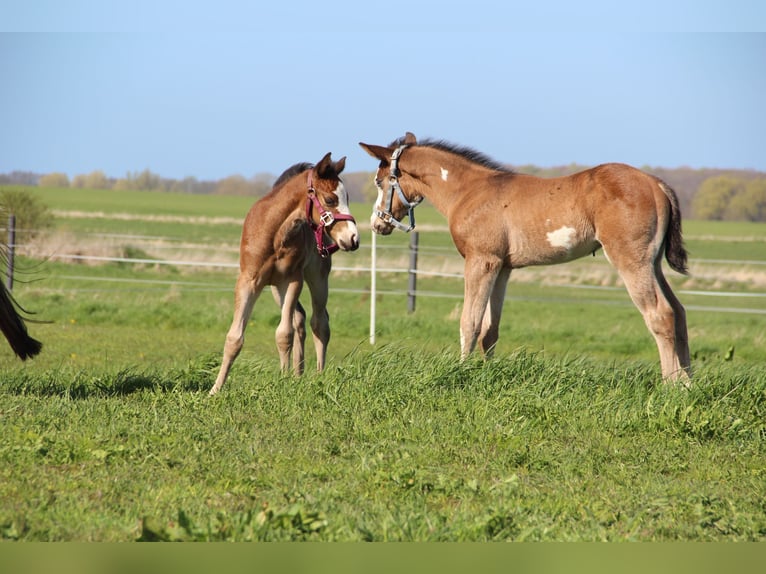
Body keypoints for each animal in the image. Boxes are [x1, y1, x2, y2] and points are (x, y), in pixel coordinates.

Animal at [209, 152, 359, 395]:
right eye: (330, 200)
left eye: (347, 197)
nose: (353, 238)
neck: (274, 234)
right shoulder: (249, 281)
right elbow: (234, 338)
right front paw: (215, 389)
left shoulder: (292, 280)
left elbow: (283, 334)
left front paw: (283, 380)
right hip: (275, 289)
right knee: (300, 319)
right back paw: (297, 374)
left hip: (318, 277)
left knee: (320, 323)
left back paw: (318, 375)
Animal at [359, 132, 691, 381]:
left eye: (378, 181)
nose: (377, 224)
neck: (468, 191)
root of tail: (656, 183)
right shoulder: (503, 267)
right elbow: (490, 329)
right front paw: (486, 374)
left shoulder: (481, 260)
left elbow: (470, 321)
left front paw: (460, 371)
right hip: (653, 264)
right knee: (679, 311)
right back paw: (687, 383)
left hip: (631, 261)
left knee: (661, 314)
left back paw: (671, 385)